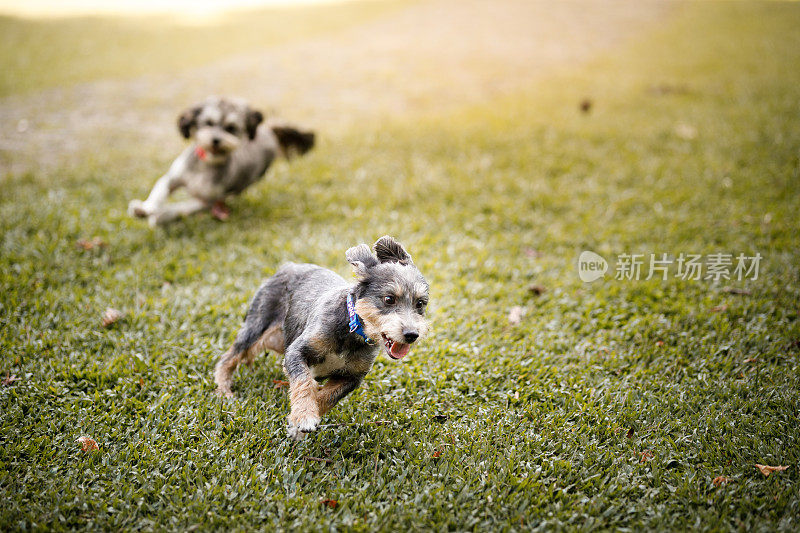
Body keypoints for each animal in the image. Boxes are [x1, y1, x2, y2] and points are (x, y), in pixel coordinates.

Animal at [127, 95, 312, 224]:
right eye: (208, 123)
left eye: (231, 128)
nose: (216, 140)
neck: (205, 165)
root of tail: (267, 129)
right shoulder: (172, 178)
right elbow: (159, 191)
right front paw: (145, 209)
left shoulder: (206, 201)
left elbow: (180, 208)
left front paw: (161, 216)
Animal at [214, 235, 432, 438]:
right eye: (389, 299)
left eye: (420, 304)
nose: (412, 334)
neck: (351, 329)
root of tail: (289, 266)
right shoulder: (295, 352)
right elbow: (304, 382)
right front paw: (304, 415)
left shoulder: (352, 378)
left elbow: (327, 397)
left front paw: (299, 420)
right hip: (257, 325)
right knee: (228, 358)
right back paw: (224, 391)